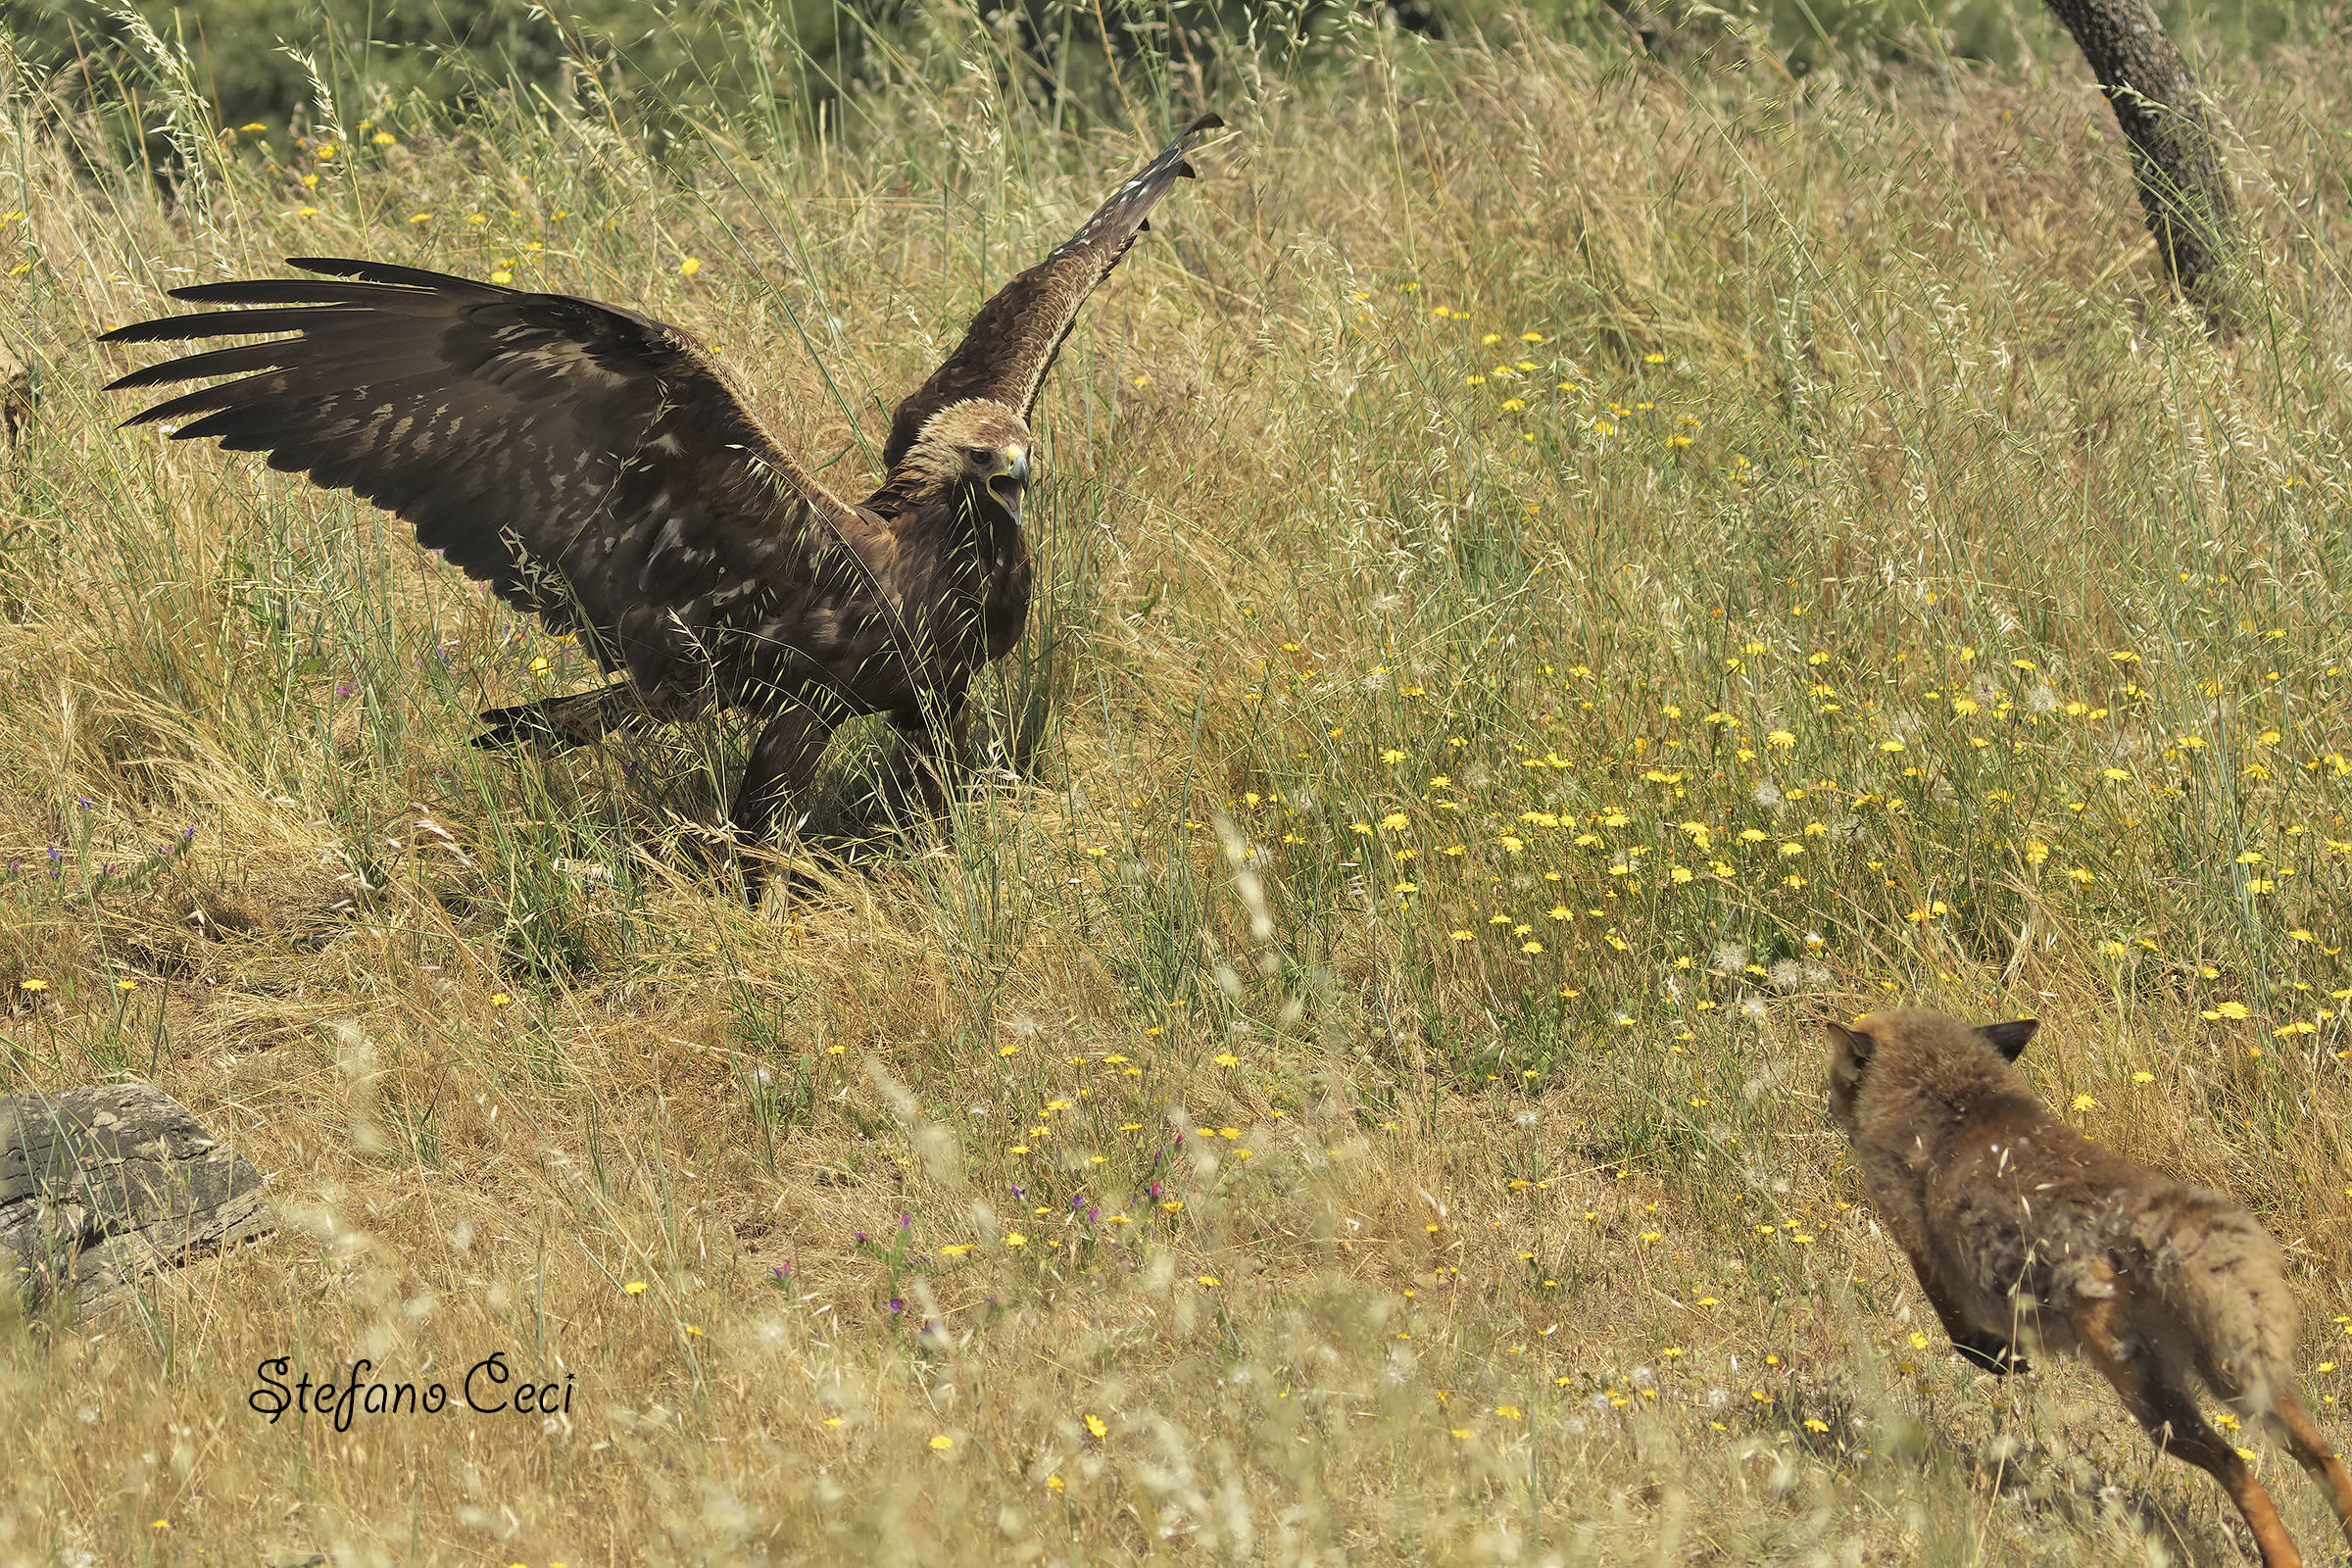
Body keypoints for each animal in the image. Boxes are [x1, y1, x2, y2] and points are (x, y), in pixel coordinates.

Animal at [1825, 1007, 2352, 1567]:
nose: (1828, 1107)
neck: (1950, 1098)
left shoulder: (1916, 1236)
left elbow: (1958, 1330)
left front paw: (1999, 1359)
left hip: (2154, 1402)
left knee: (2236, 1465)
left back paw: (2282, 1554)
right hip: (2240, 1378)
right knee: (2321, 1453)